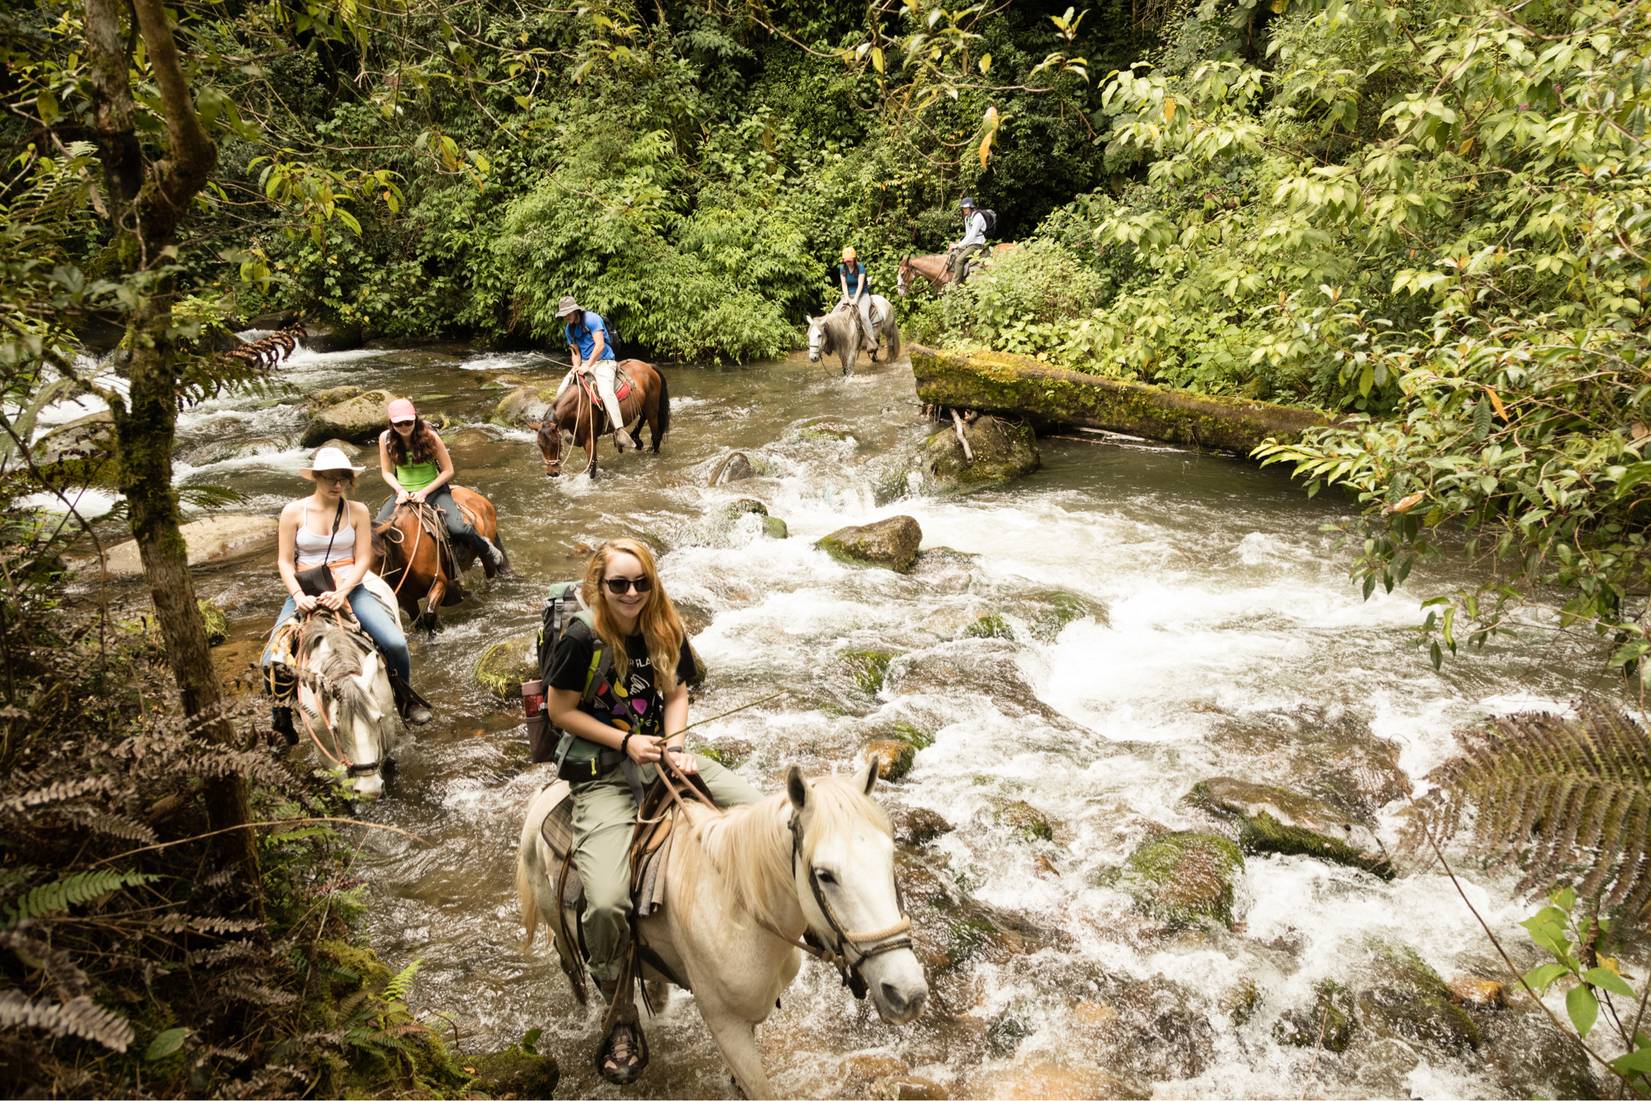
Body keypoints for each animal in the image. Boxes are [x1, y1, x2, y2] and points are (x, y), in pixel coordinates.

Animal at [373, 488, 505, 633]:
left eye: (380, 557)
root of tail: (481, 499)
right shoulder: (407, 601)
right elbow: (418, 623)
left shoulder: (439, 583)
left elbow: (429, 615)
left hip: (486, 558)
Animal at [515, 762, 931, 1096]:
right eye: (825, 874)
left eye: (889, 856)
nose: (906, 993)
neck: (740, 912)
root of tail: (548, 791)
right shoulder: (725, 1024)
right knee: (580, 964)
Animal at [531, 359, 667, 478]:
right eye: (540, 445)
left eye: (556, 443)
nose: (552, 473)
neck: (577, 406)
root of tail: (648, 366)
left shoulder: (589, 439)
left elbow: (592, 466)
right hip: (643, 407)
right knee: (643, 419)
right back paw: (636, 438)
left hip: (652, 410)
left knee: (656, 435)